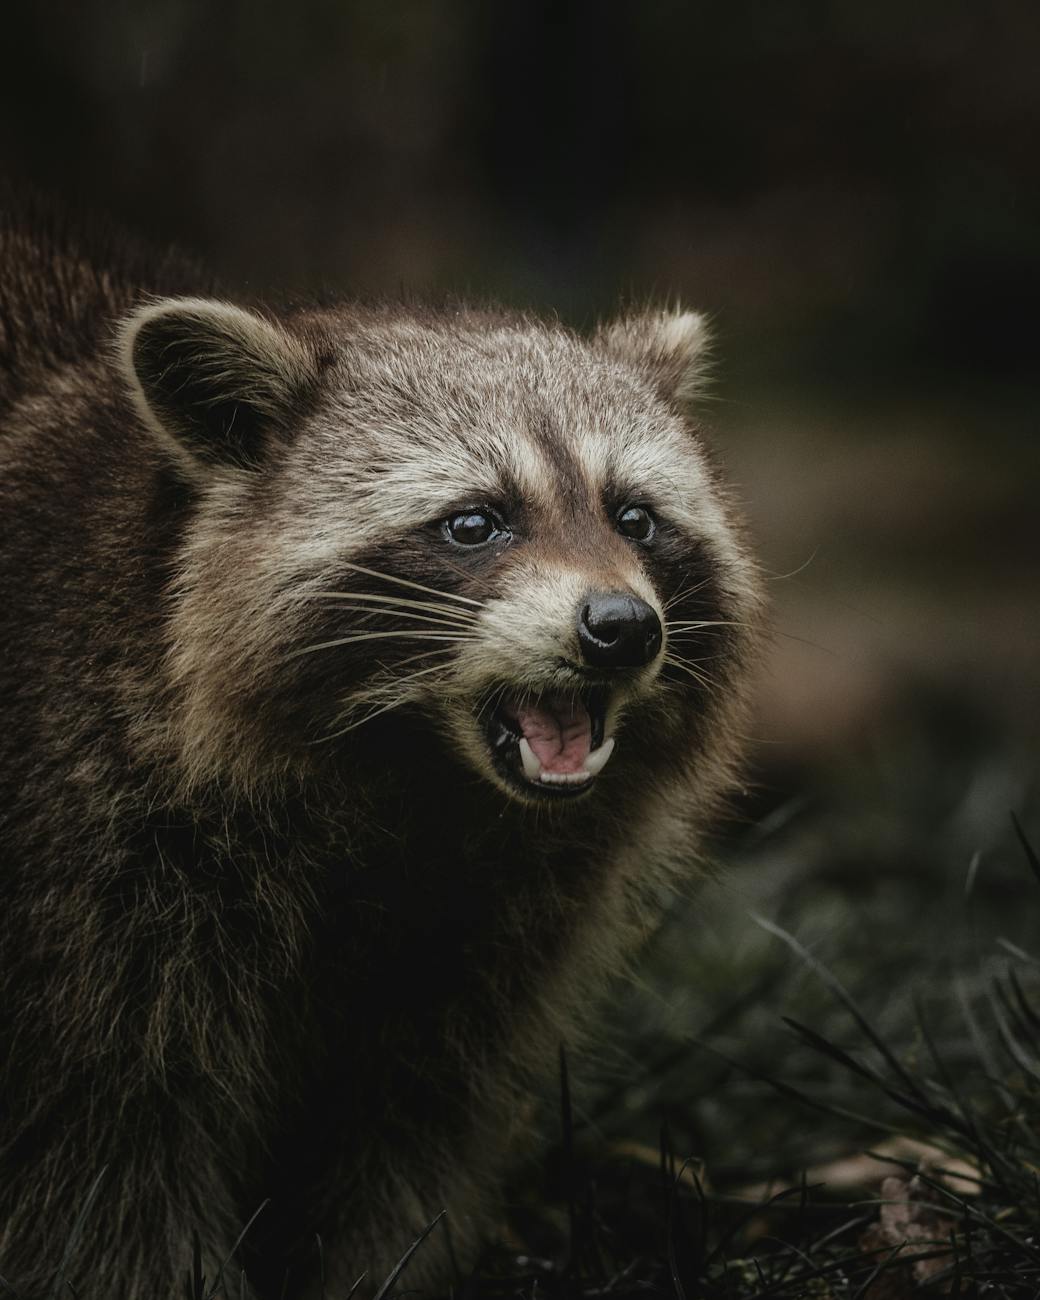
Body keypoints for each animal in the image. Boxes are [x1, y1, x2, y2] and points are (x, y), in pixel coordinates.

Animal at [0, 208, 764, 1294]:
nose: (622, 628)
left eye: (633, 516)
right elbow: (104, 1134)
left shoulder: (491, 916)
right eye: (475, 522)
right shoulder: (80, 854)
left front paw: (375, 1262)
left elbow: (411, 1106)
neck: (414, 782)